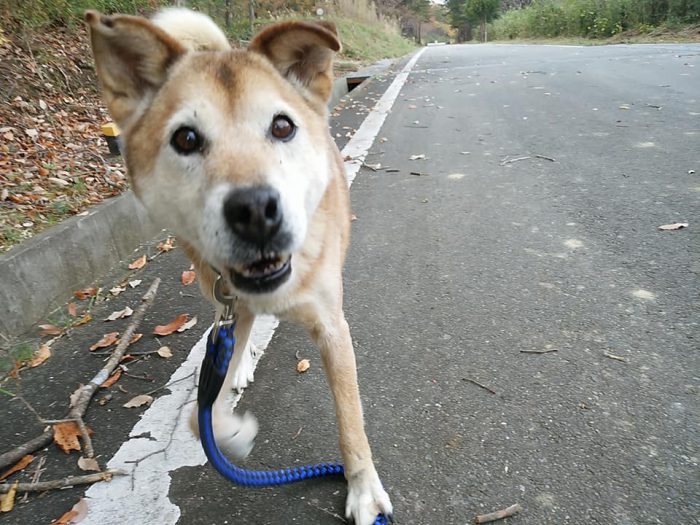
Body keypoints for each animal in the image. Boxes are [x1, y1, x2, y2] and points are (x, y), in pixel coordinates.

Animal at [85, 8, 392, 524]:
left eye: (283, 127)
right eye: (186, 138)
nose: (254, 211)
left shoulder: (332, 326)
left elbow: (351, 419)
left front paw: (363, 488)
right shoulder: (232, 306)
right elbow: (199, 415)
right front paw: (232, 431)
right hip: (216, 292)